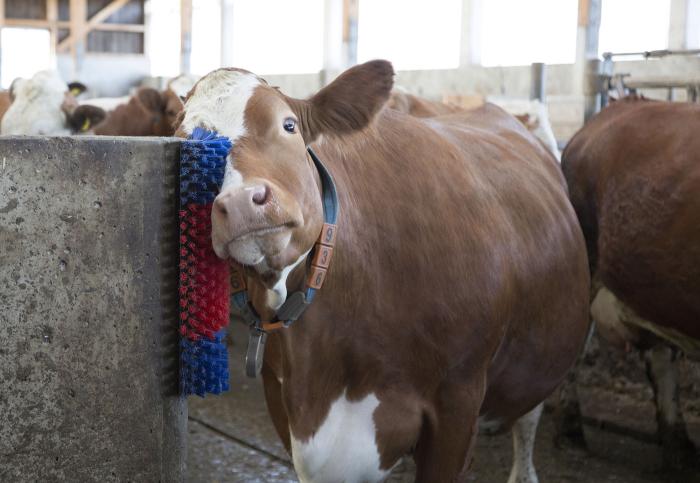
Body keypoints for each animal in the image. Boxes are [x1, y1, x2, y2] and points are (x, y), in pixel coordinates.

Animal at [178, 61, 588, 483]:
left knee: (528, 418)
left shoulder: (458, 403)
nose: (242, 203)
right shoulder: (284, 402)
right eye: (187, 152)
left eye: (288, 125)